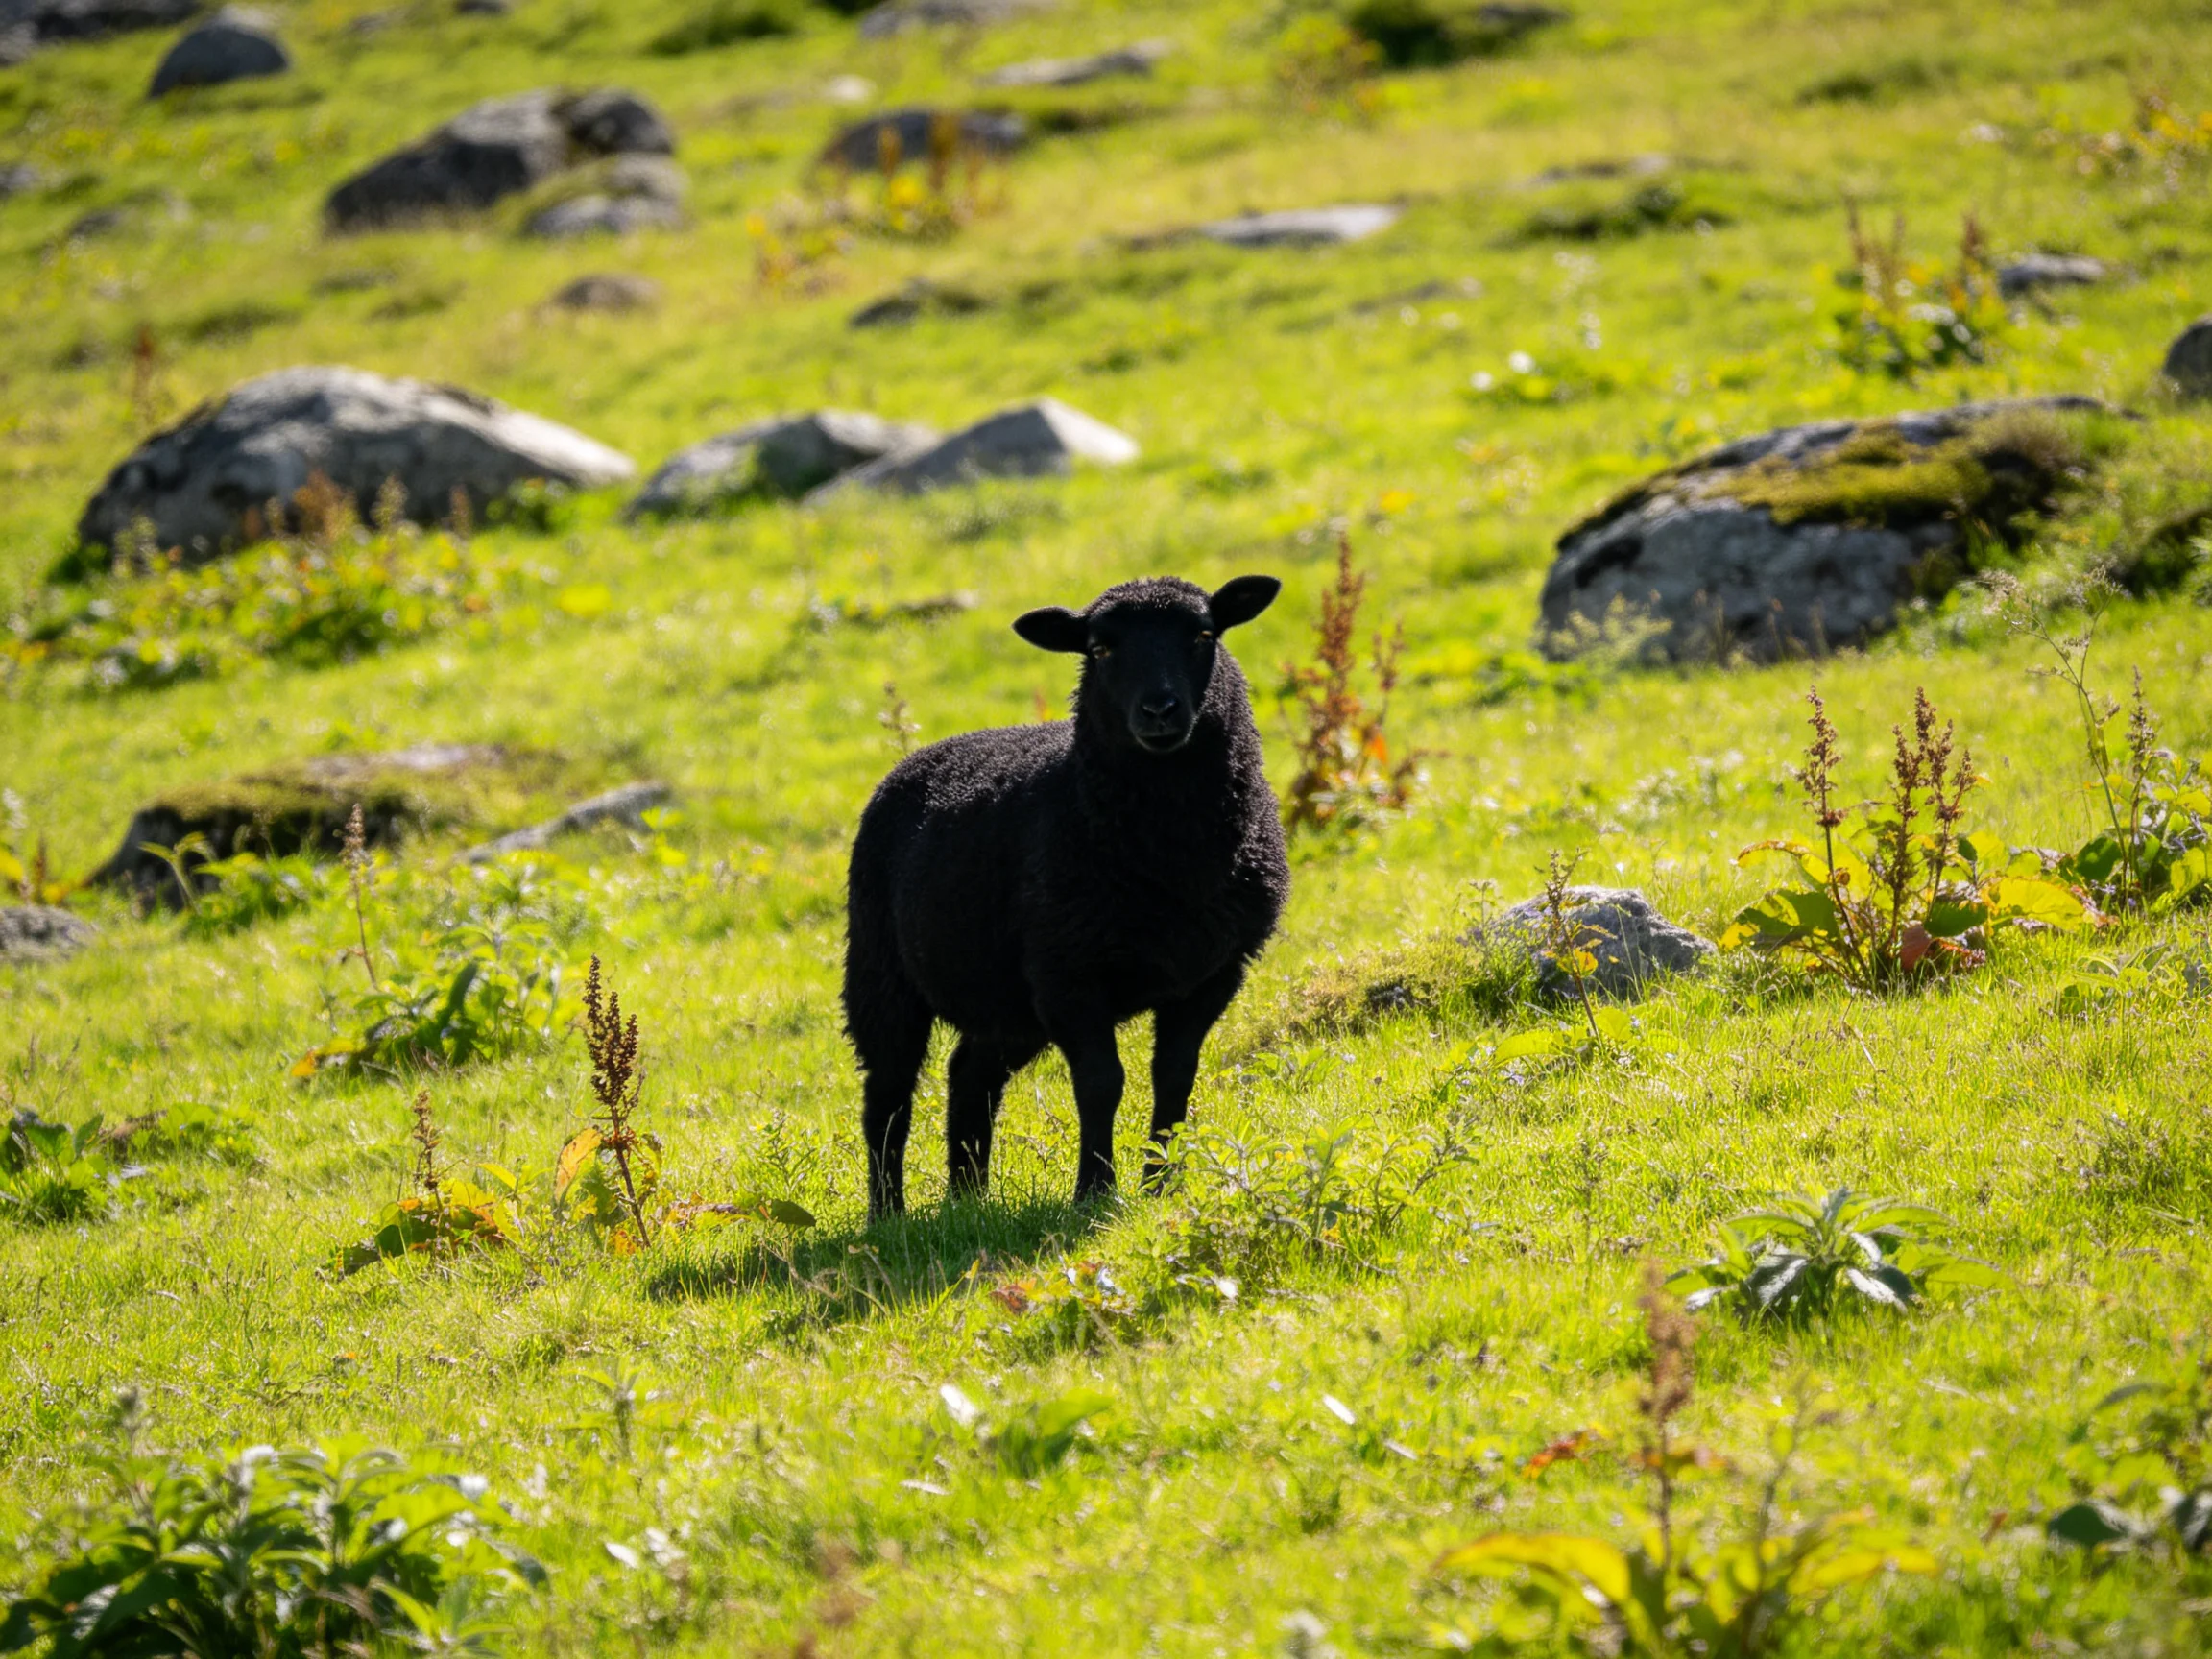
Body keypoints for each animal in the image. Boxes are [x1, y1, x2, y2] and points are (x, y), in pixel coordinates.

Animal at [843, 574, 1290, 1218]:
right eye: (1099, 649)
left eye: (1204, 634)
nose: (1159, 710)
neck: (1171, 858)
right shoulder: (1069, 977)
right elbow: (1102, 1083)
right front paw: (1096, 1192)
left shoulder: (1212, 973)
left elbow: (1174, 1076)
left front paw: (1159, 1187)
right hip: (881, 971)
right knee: (888, 1091)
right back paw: (888, 1214)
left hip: (1007, 1000)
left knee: (969, 1074)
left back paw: (967, 1199)